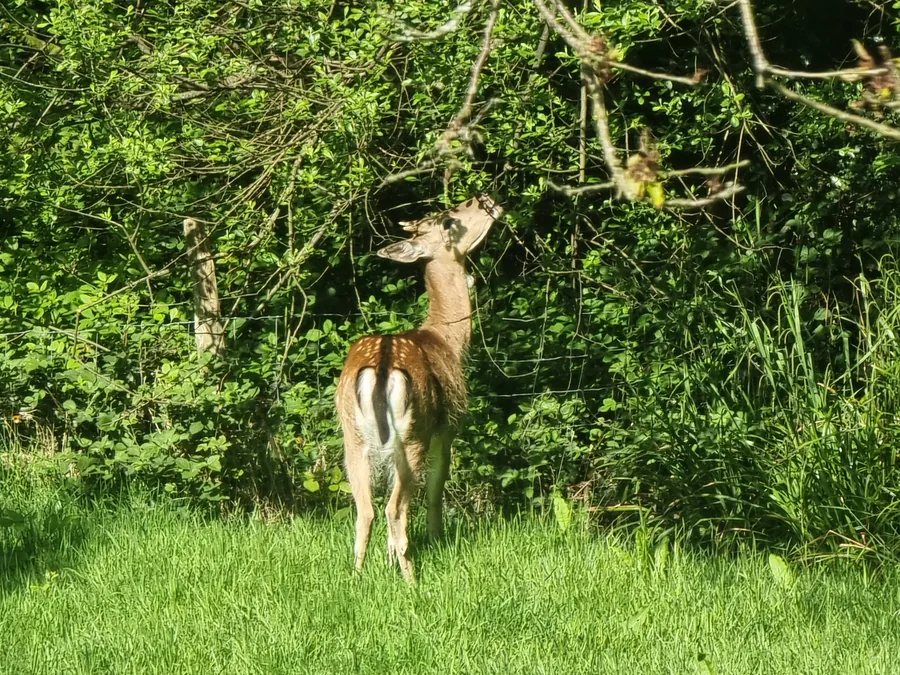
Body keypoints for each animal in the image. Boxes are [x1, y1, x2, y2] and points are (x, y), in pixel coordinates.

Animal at [335, 195, 502, 583]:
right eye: (448, 221)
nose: (486, 199)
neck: (447, 341)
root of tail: (381, 365)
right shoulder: (448, 426)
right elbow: (437, 488)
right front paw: (437, 540)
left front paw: (386, 560)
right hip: (412, 434)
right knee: (394, 508)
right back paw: (411, 578)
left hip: (352, 435)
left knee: (365, 508)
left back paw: (357, 575)